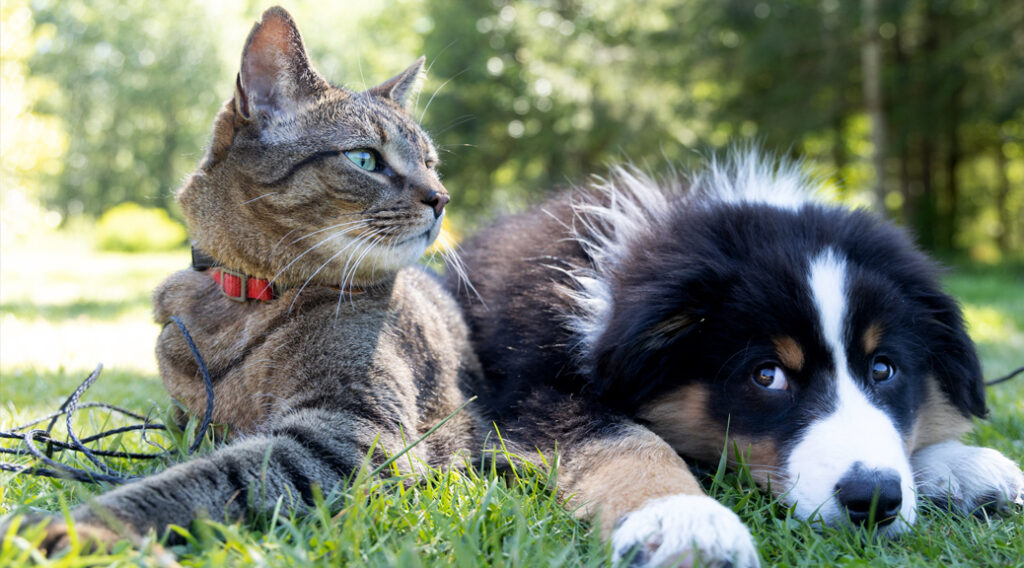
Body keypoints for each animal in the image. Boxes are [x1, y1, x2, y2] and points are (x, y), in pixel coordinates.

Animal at [12, 6, 483, 552]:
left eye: (430, 163)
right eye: (364, 158)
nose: (441, 197)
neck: (246, 298)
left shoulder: (352, 432)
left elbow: (206, 477)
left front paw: (85, 525)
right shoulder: (188, 420)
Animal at [456, 151, 1024, 568]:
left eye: (883, 368)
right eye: (766, 375)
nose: (873, 500)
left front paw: (961, 465)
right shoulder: (528, 393)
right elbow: (625, 440)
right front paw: (683, 520)